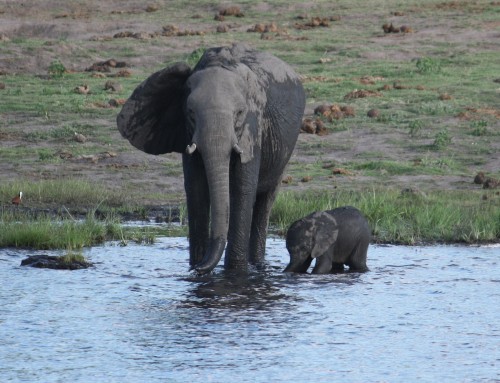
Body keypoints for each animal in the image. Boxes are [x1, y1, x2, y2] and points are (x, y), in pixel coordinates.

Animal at [117, 43, 304, 274]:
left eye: (239, 113)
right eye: (190, 113)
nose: (198, 269)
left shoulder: (253, 128)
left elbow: (242, 190)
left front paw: (234, 273)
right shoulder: (187, 134)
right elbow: (196, 190)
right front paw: (196, 268)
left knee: (265, 201)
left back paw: (257, 265)